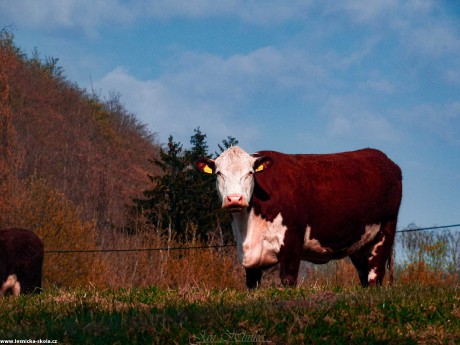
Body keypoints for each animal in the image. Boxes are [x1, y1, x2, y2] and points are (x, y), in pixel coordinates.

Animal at [197, 145, 402, 288]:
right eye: (218, 173)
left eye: (250, 173)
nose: (234, 199)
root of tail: (384, 159)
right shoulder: (249, 257)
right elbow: (251, 284)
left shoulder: (292, 239)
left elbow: (288, 279)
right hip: (360, 242)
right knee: (364, 274)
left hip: (386, 228)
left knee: (375, 274)